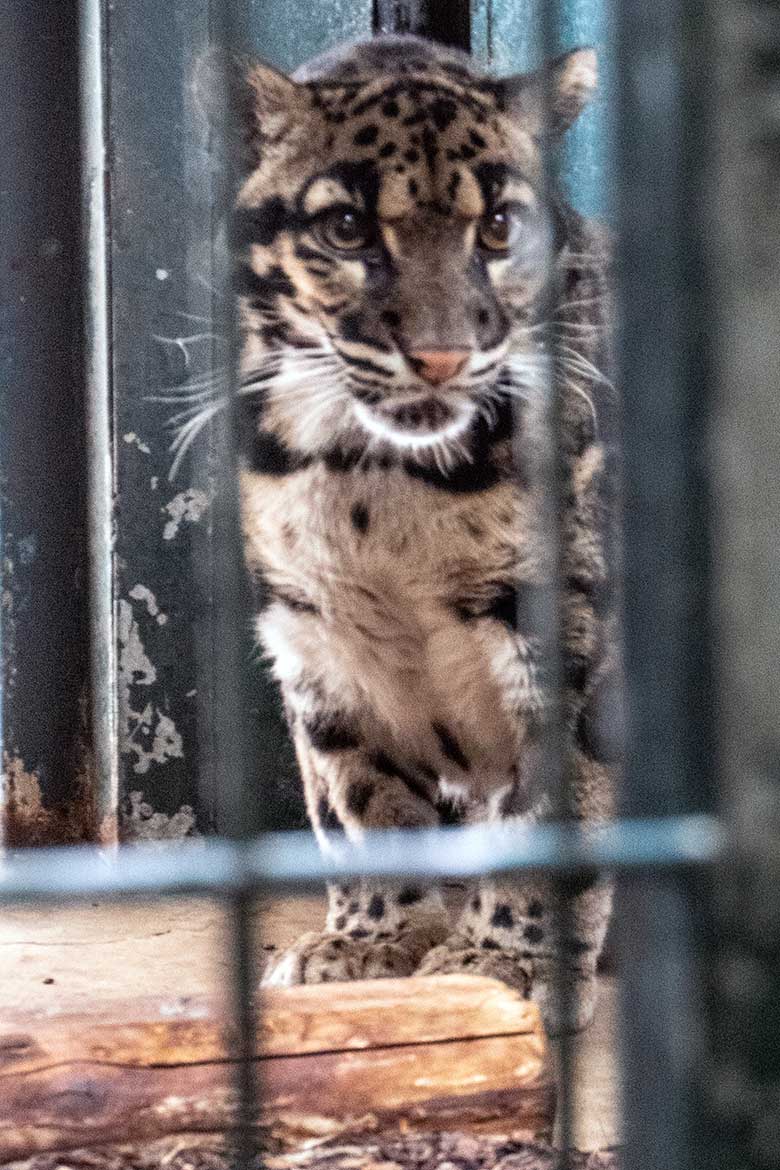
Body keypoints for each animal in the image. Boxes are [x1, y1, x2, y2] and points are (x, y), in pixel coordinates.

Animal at [226, 32, 622, 1029]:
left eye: (501, 228)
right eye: (346, 228)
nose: (441, 355)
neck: (377, 484)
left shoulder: (575, 643)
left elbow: (550, 814)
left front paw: (500, 963)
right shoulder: (315, 641)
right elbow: (355, 798)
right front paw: (365, 944)